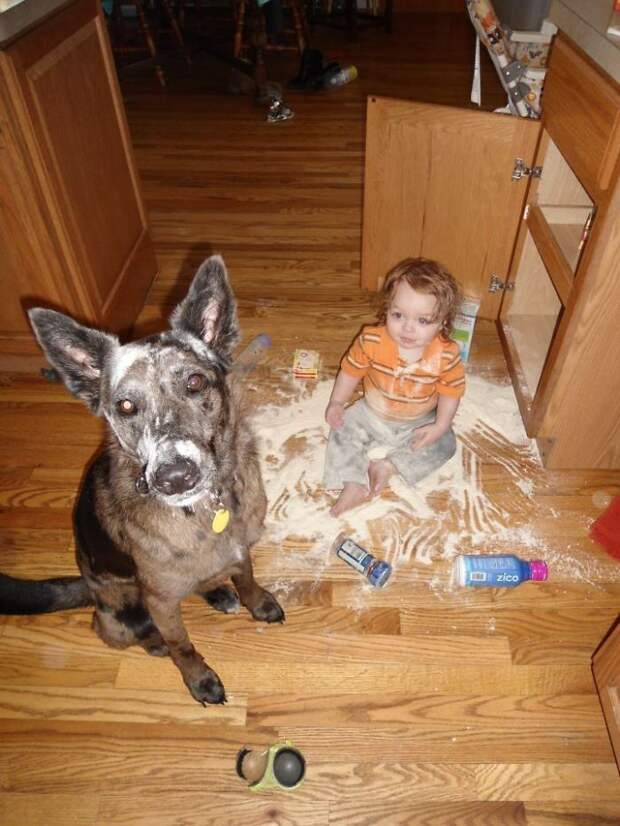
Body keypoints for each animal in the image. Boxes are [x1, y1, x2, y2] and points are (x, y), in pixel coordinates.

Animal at [0, 256, 284, 700]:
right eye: (126, 406)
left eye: (195, 382)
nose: (175, 476)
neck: (204, 511)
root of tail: (90, 588)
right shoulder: (162, 604)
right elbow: (182, 644)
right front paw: (198, 677)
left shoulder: (240, 549)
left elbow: (247, 577)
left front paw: (256, 601)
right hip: (123, 615)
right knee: (119, 631)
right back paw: (156, 641)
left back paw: (216, 590)